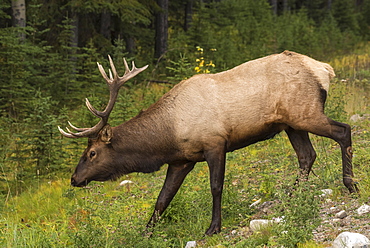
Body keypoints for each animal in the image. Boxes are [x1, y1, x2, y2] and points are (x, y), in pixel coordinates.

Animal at [59, 51, 356, 235]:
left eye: (92, 153)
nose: (74, 179)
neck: (168, 136)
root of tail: (324, 69)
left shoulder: (215, 143)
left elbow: (215, 187)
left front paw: (213, 227)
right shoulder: (181, 160)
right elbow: (162, 199)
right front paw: (146, 232)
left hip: (306, 113)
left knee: (344, 131)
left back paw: (350, 184)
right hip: (292, 124)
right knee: (307, 156)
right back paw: (291, 198)